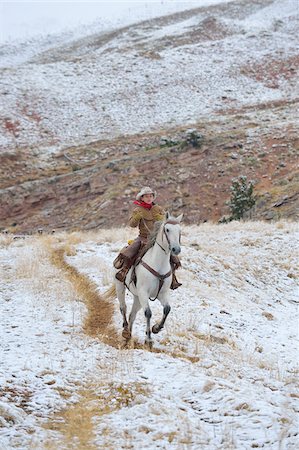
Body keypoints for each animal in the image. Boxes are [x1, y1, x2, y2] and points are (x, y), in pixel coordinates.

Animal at [114, 213, 183, 346]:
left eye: (179, 230)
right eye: (167, 229)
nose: (176, 249)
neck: (158, 264)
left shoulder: (161, 294)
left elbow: (167, 309)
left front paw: (156, 328)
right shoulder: (143, 293)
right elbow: (148, 313)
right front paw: (148, 339)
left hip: (137, 297)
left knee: (132, 315)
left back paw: (129, 335)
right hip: (120, 287)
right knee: (123, 308)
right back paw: (125, 331)